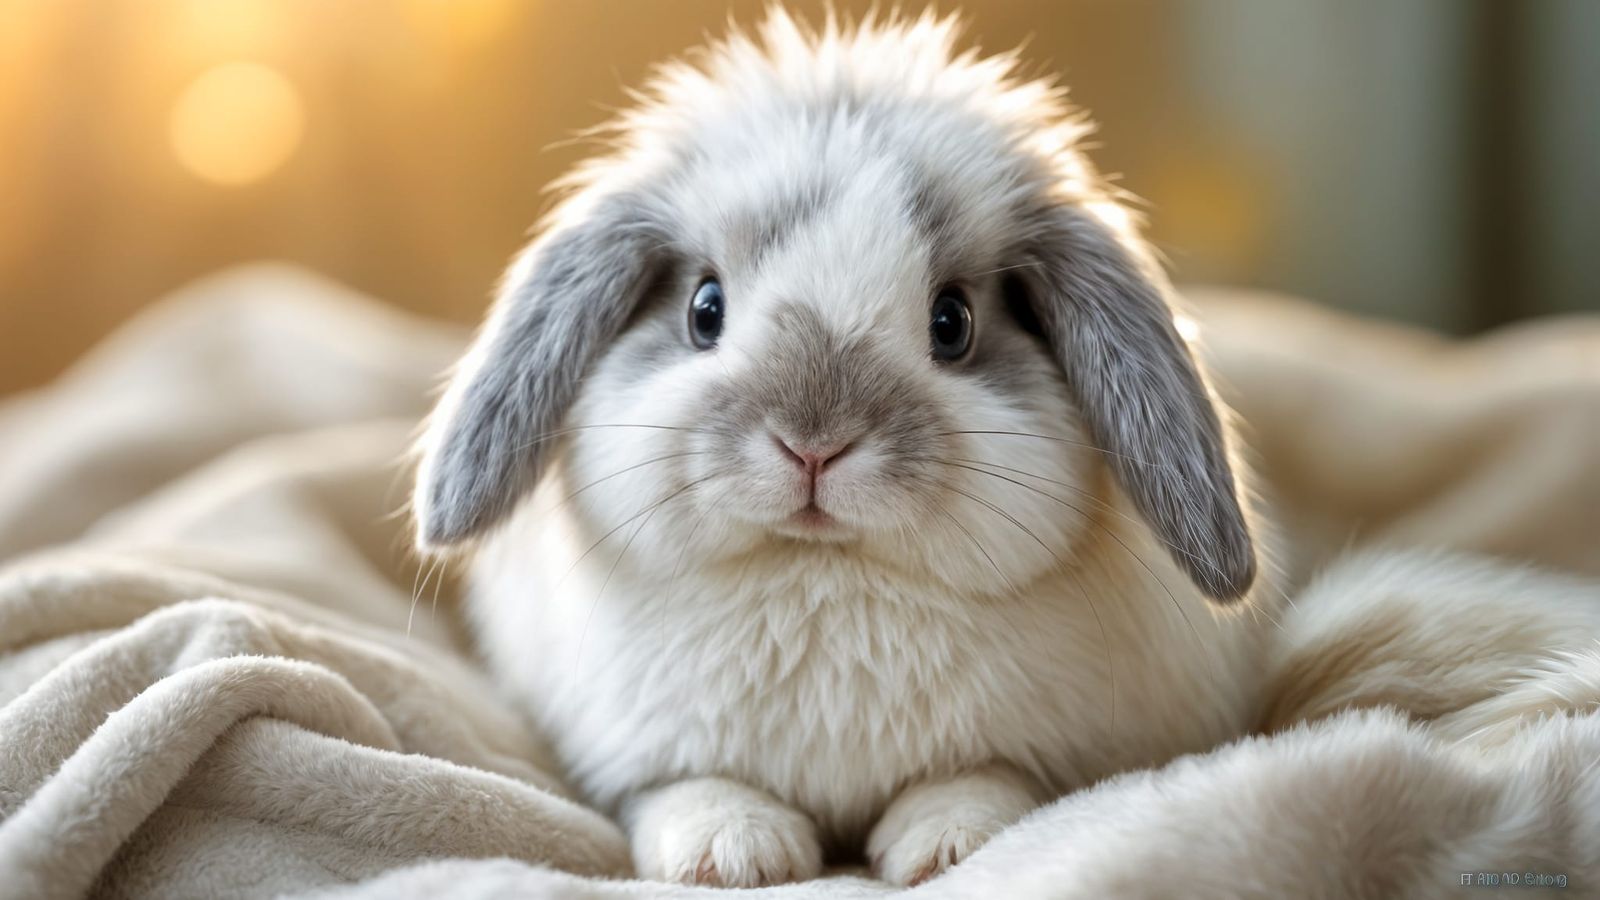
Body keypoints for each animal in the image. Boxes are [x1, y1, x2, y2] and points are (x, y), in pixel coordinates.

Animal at [413, 10, 1276, 888]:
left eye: (952, 324)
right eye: (704, 309)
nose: (813, 444)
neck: (821, 573)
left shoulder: (1036, 751)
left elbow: (989, 778)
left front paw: (945, 844)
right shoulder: (640, 756)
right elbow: (684, 788)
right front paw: (733, 853)